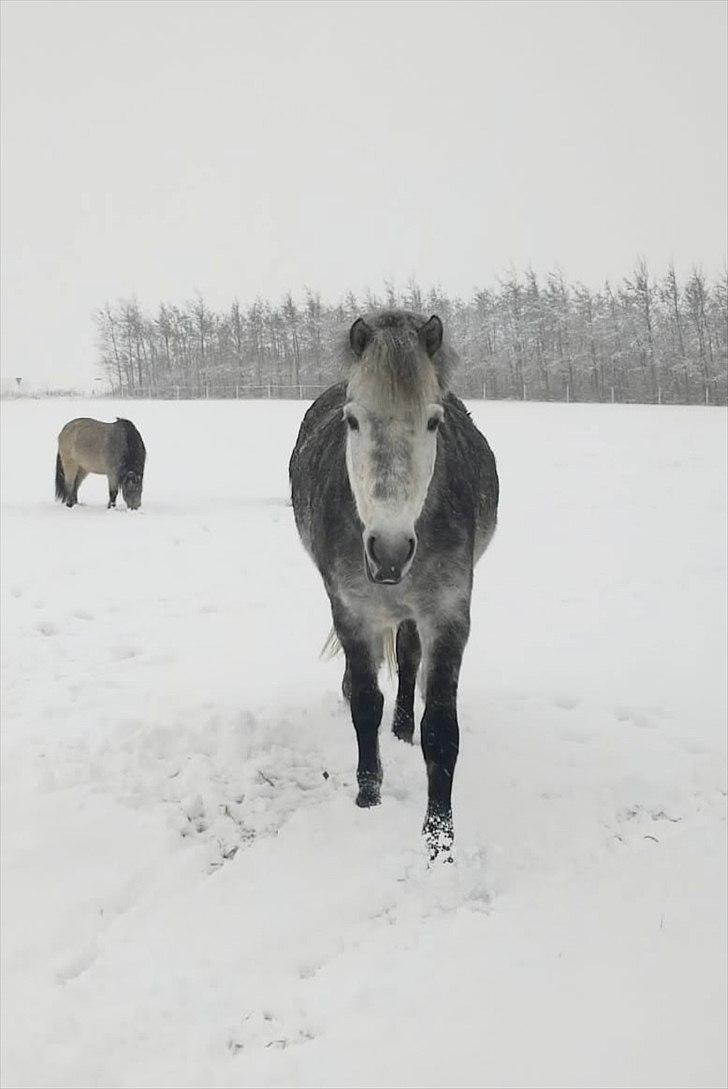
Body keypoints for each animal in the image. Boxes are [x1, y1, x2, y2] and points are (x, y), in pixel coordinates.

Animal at [289, 309, 500, 858]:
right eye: (352, 420)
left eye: (433, 421)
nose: (388, 550)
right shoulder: (351, 611)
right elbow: (366, 705)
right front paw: (369, 798)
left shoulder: (448, 612)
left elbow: (441, 730)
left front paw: (439, 841)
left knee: (407, 660)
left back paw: (403, 729)